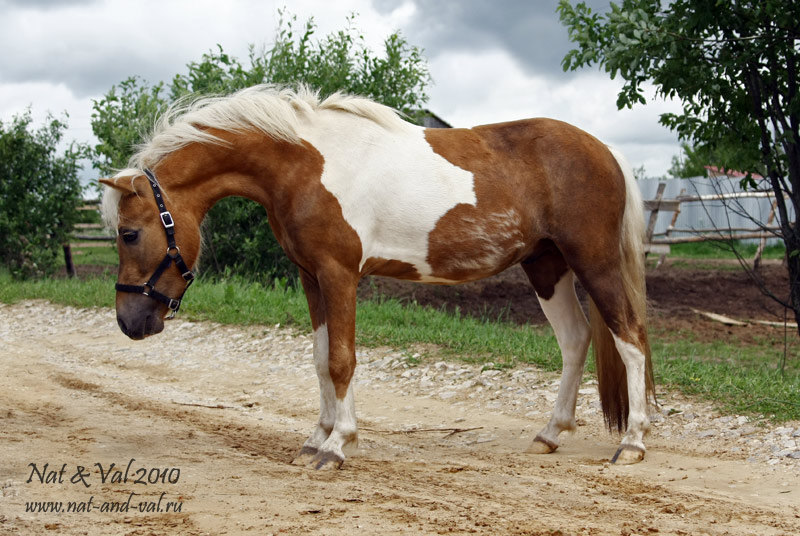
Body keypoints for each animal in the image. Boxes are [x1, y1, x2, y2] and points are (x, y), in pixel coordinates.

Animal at [101, 85, 656, 468]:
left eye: (129, 233)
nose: (130, 321)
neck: (305, 164)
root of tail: (605, 150)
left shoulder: (339, 273)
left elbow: (342, 360)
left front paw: (337, 446)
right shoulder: (311, 277)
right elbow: (321, 361)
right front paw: (315, 439)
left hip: (594, 260)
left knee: (630, 339)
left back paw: (631, 444)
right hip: (545, 265)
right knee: (576, 340)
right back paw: (549, 434)